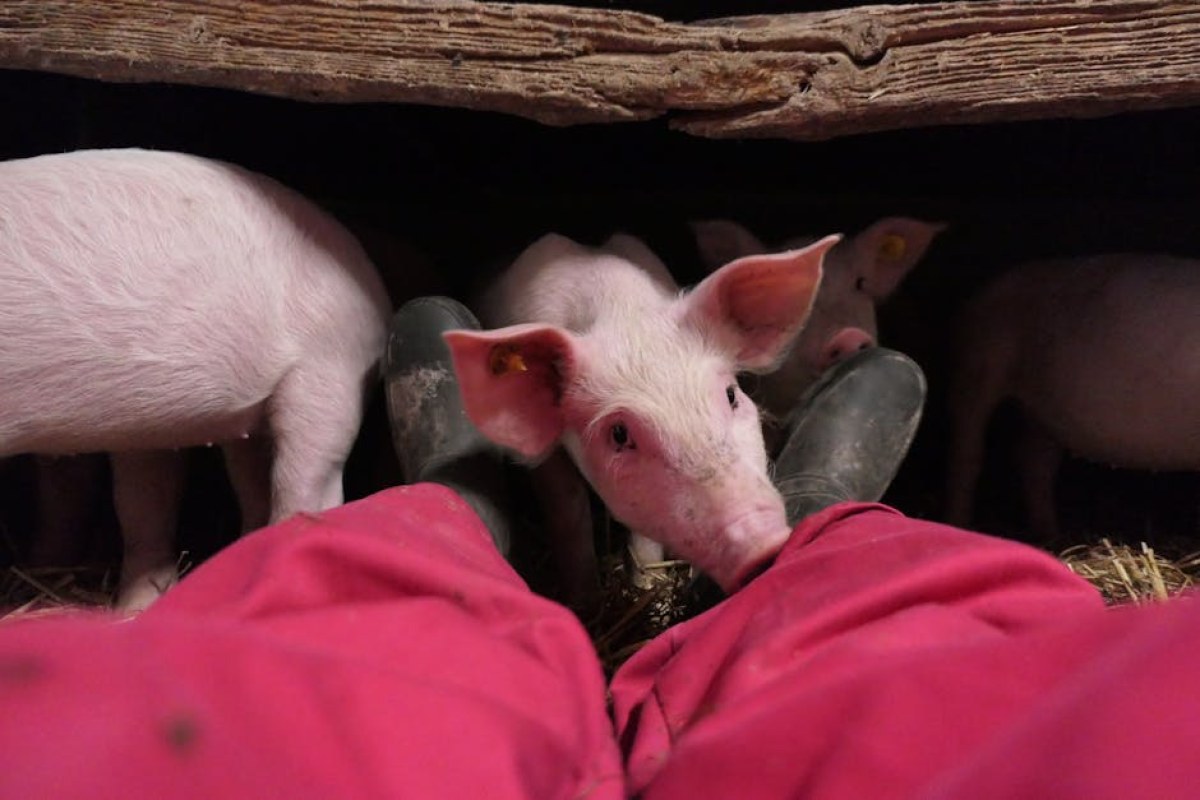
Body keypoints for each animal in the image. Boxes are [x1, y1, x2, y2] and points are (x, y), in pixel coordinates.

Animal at [443, 231, 836, 604]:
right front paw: (586, 601)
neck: (622, 313)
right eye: (619, 434)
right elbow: (568, 510)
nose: (764, 542)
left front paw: (648, 582)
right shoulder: (543, 456)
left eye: (731, 395)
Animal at [945, 253, 1200, 539]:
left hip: (1040, 406)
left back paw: (1050, 536)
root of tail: (972, 298)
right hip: (976, 362)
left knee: (1034, 460)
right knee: (967, 453)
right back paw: (959, 524)